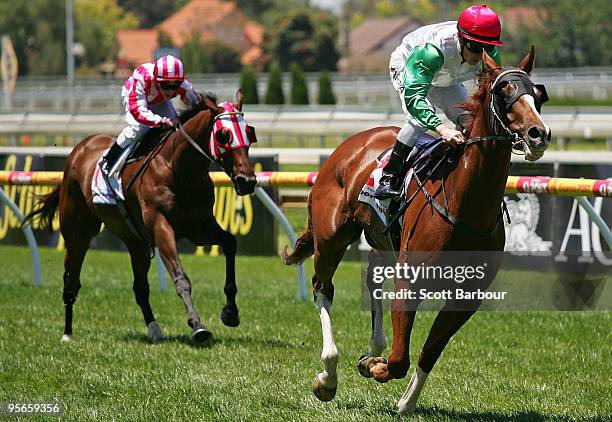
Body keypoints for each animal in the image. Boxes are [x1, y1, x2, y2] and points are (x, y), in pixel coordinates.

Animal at [25, 90, 256, 344]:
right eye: (224, 135)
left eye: (249, 133)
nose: (247, 180)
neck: (178, 169)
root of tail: (81, 147)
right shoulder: (161, 227)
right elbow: (180, 278)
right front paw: (197, 325)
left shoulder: (199, 227)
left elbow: (230, 243)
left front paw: (230, 312)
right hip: (78, 234)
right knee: (71, 280)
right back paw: (67, 333)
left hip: (135, 241)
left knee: (140, 288)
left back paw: (154, 330)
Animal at [282, 47, 548, 414]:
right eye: (503, 90)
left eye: (538, 94)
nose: (539, 134)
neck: (466, 204)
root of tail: (352, 143)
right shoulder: (411, 278)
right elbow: (399, 359)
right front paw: (374, 367)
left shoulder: (468, 296)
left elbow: (429, 353)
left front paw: (405, 400)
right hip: (331, 237)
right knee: (323, 289)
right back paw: (329, 375)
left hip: (382, 240)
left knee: (372, 279)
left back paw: (373, 346)